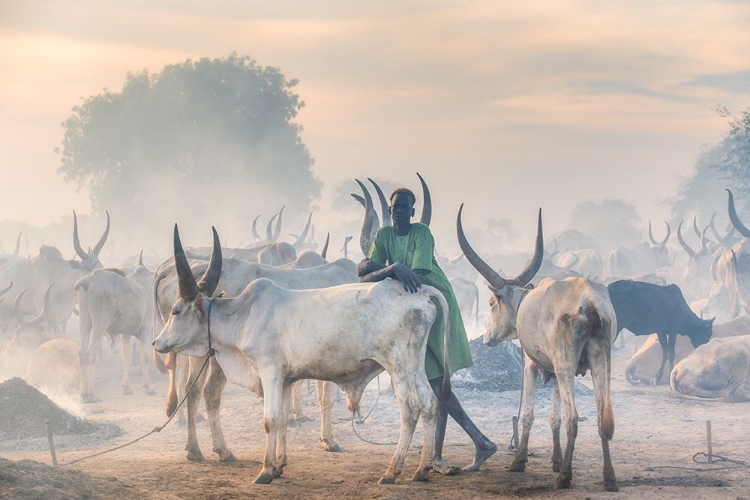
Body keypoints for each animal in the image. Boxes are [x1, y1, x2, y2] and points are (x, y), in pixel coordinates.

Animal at [153, 227, 446, 484]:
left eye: (177, 311)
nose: (157, 342)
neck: (246, 314)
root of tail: (421, 293)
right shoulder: (286, 379)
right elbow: (282, 420)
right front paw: (278, 466)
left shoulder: (270, 371)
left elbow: (270, 420)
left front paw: (264, 471)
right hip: (414, 366)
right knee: (430, 403)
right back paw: (422, 469)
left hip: (399, 367)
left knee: (410, 409)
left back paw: (392, 471)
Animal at [456, 206, 620, 492]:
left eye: (491, 303)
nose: (487, 338)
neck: (524, 302)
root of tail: (589, 300)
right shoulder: (553, 370)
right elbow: (554, 417)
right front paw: (555, 459)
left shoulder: (532, 365)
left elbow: (529, 414)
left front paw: (520, 461)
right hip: (600, 361)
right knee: (602, 418)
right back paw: (608, 477)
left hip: (566, 365)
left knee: (574, 418)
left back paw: (564, 477)